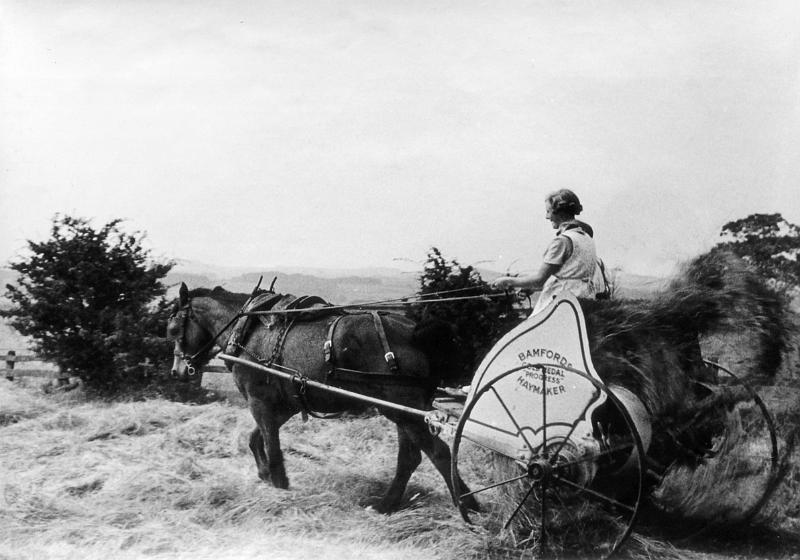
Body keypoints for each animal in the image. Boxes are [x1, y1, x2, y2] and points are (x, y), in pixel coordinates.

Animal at [162, 282, 476, 516]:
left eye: (173, 329)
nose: (177, 371)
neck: (248, 330)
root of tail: (413, 331)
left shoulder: (259, 401)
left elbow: (272, 448)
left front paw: (280, 486)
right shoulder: (284, 403)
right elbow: (256, 439)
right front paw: (264, 474)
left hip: (404, 409)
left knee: (439, 453)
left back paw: (469, 505)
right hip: (404, 409)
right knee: (410, 458)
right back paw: (386, 505)